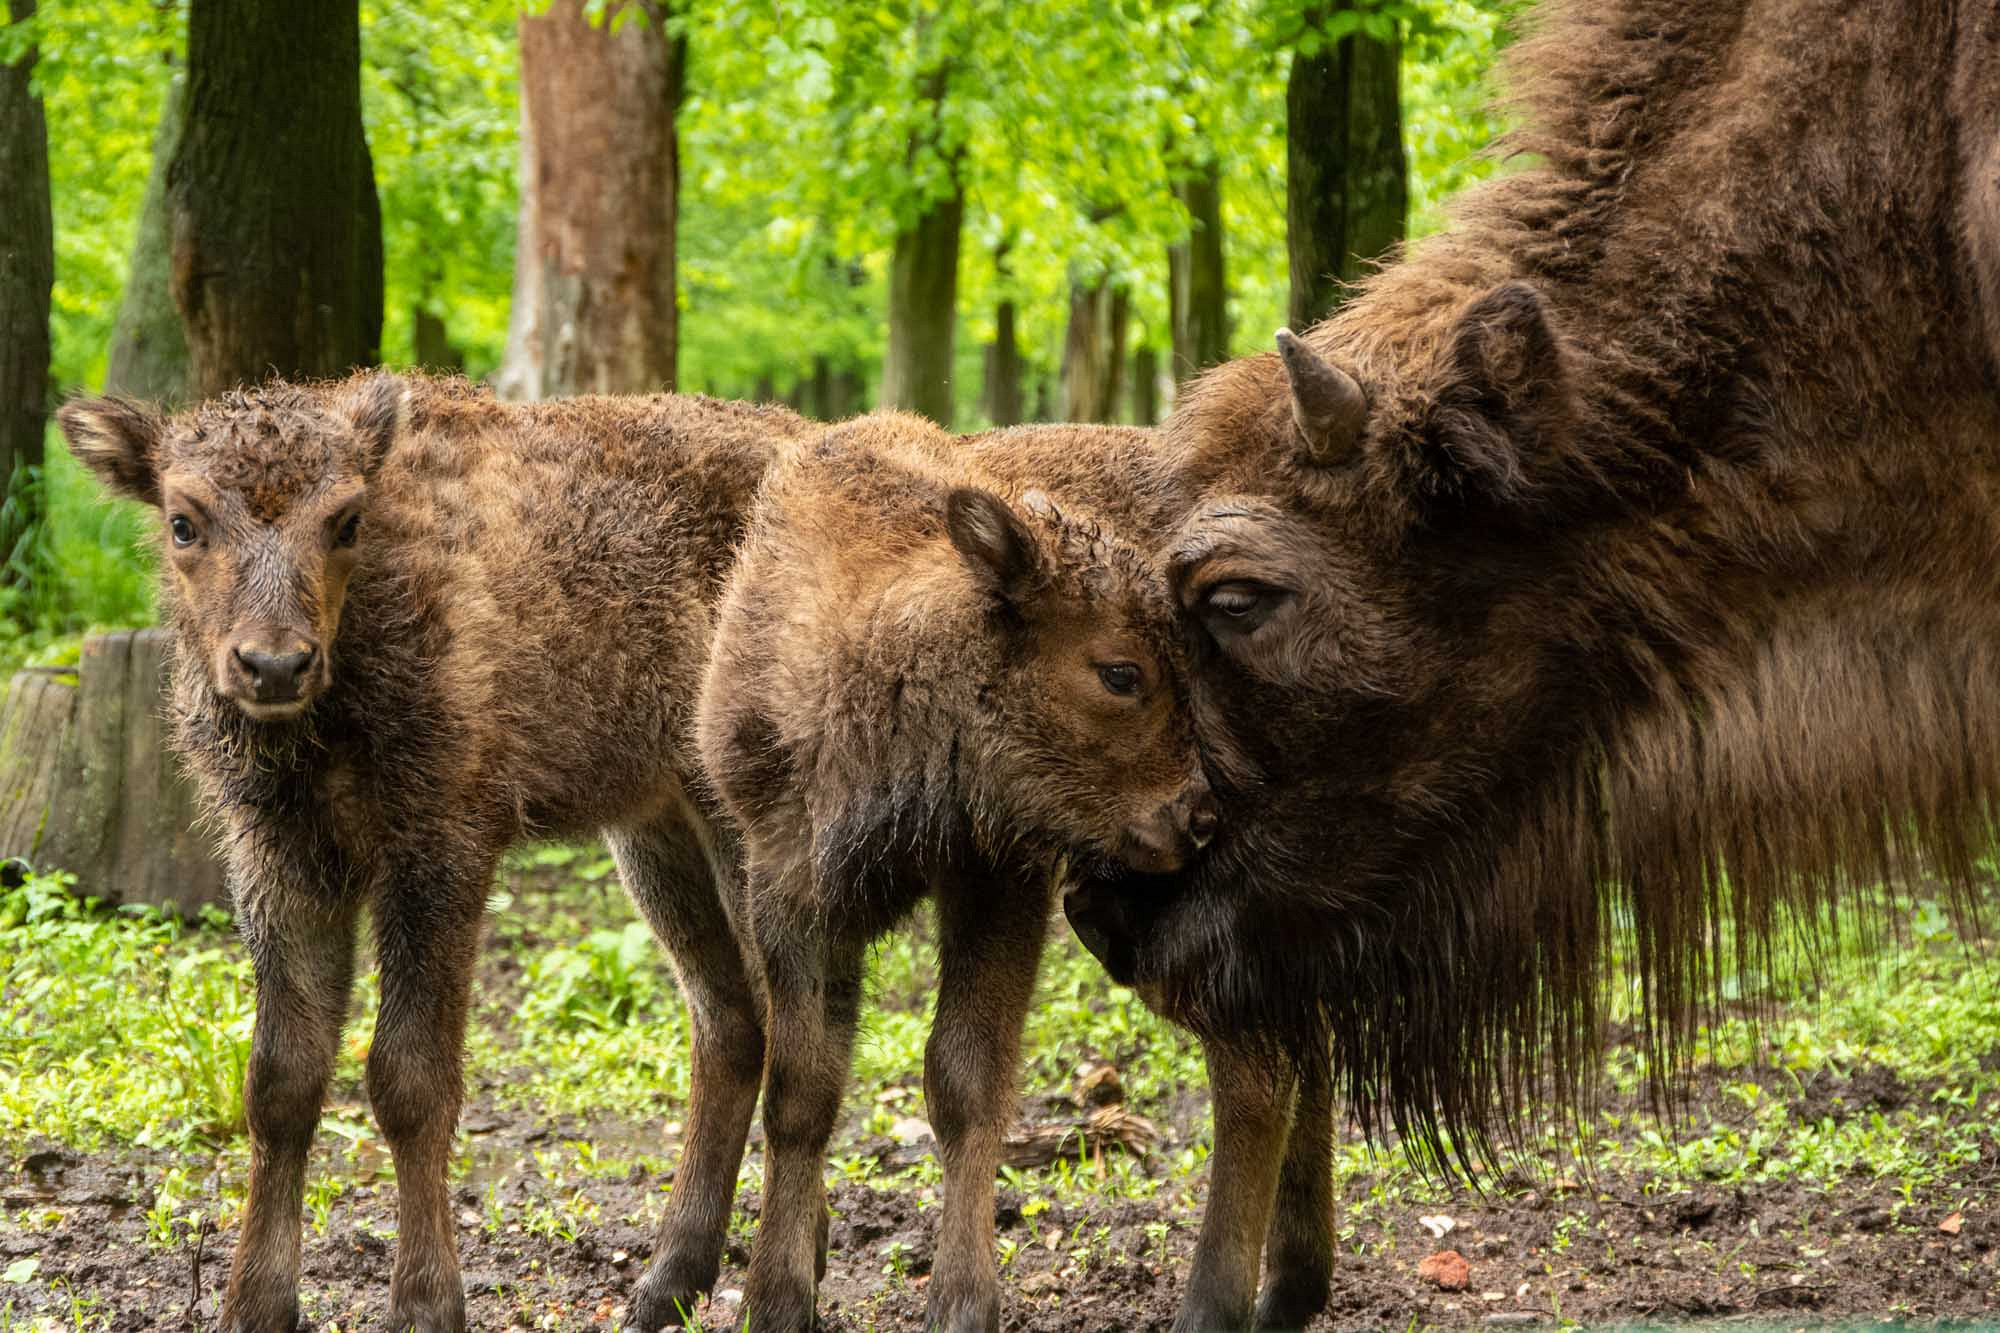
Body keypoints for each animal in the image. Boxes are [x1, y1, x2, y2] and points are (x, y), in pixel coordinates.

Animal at [62, 374, 812, 1328]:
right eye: (182, 520)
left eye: (346, 518)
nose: (273, 665)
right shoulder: (280, 862)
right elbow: (280, 1080)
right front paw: (254, 1305)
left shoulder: (441, 851)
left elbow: (408, 1080)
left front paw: (425, 1301)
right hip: (656, 829)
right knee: (730, 1023)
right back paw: (667, 1282)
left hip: (747, 825)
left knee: (796, 1035)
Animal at [696, 412, 1208, 1328]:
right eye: (1121, 671)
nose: (1198, 814)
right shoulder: (789, 885)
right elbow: (801, 1092)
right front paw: (778, 1298)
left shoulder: (997, 879)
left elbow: (964, 1080)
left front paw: (962, 1297)